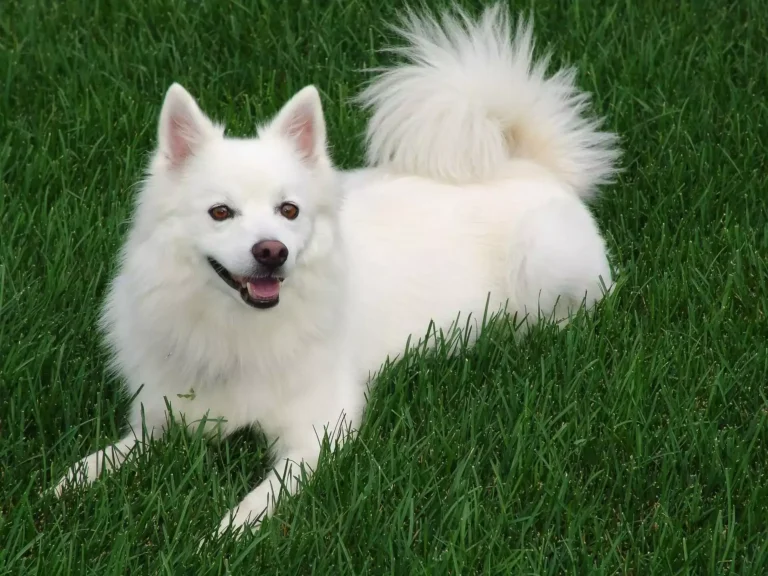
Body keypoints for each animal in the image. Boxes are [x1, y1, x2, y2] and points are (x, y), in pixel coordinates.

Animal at [52, 4, 616, 540]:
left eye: (289, 210)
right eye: (220, 212)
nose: (272, 251)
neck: (236, 329)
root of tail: (532, 165)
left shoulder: (319, 429)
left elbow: (266, 494)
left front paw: (228, 532)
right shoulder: (161, 416)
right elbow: (118, 452)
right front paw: (71, 481)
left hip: (545, 258)